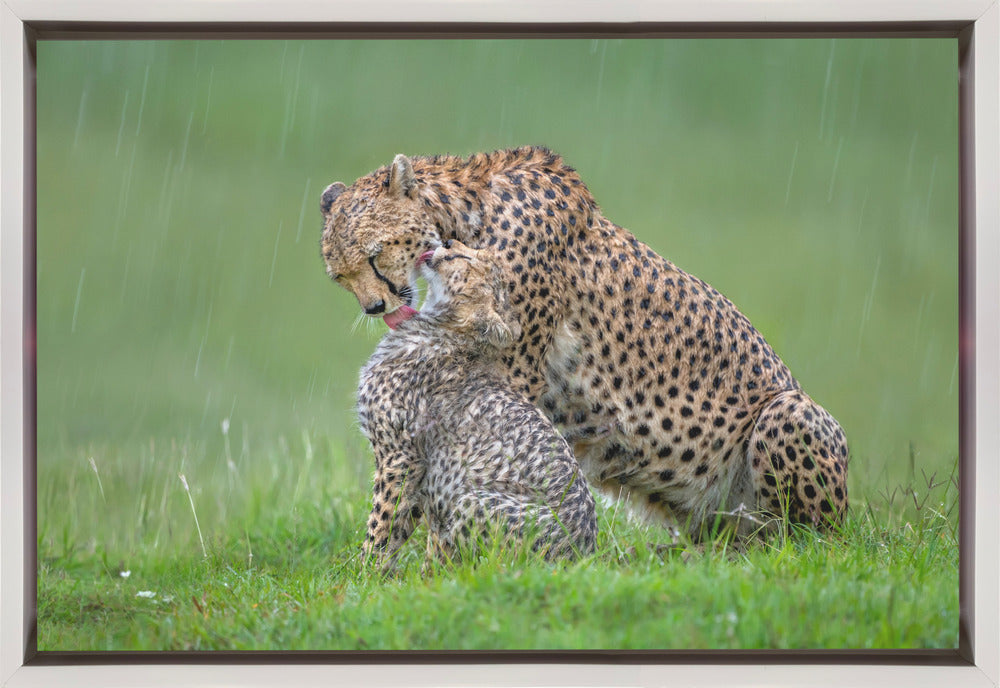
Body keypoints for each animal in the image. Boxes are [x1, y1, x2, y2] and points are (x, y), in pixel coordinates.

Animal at [356, 238, 597, 571]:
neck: (442, 329)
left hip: (470, 499)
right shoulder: (419, 470)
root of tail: (582, 553)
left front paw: (363, 574)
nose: (448, 242)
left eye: (466, 259)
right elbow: (402, 524)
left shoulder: (401, 457)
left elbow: (382, 523)